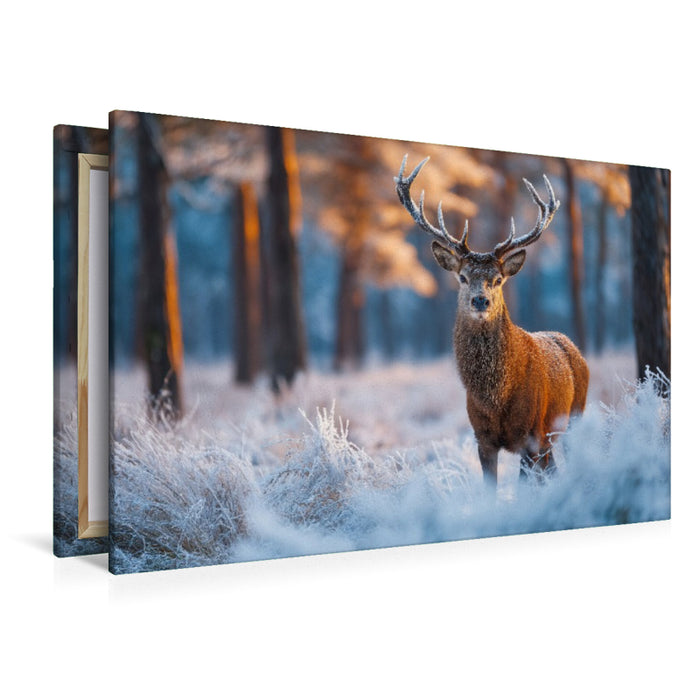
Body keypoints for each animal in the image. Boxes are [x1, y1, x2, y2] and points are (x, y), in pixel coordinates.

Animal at [395, 155, 589, 486]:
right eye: (462, 277)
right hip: (551, 438)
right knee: (552, 470)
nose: (480, 301)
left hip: (574, 417)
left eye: (498, 279)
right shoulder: (481, 437)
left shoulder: (531, 434)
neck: (496, 398)